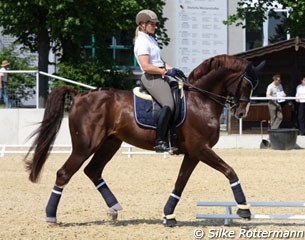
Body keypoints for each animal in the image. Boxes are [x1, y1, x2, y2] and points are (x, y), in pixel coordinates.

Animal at [24, 54, 264, 227]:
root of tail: (80, 95)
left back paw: (114, 208)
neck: (201, 99)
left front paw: (169, 216)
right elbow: (230, 171)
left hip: (110, 143)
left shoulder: (193, 153)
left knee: (93, 171)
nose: (241, 113)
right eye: (247, 84)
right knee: (64, 174)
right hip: (85, 146)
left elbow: (180, 182)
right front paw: (244, 208)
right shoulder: (201, 149)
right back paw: (51, 217)